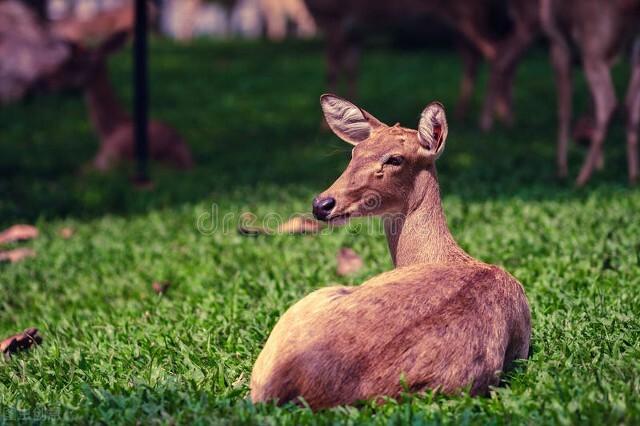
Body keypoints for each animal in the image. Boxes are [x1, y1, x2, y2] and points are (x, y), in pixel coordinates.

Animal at [540, 0, 640, 186]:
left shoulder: (559, 46)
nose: (582, 139)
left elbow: (564, 112)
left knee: (609, 102)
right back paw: (633, 176)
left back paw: (581, 178)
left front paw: (561, 170)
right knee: (630, 106)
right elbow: (590, 101)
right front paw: (601, 166)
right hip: (632, 53)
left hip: (593, 48)